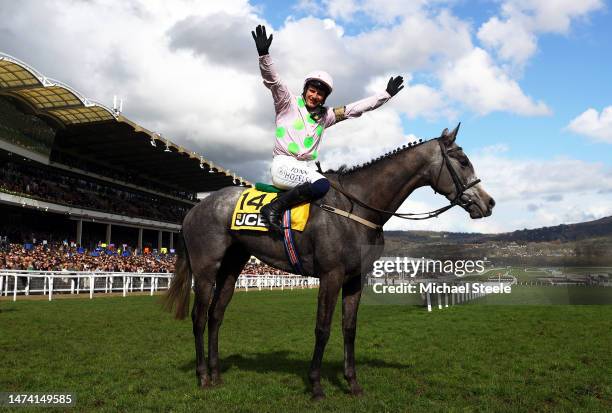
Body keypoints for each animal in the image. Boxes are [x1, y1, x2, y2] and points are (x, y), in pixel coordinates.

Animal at [164, 124, 498, 400]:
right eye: (463, 160)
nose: (489, 202)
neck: (358, 207)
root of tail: (194, 208)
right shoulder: (331, 275)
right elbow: (322, 328)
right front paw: (316, 385)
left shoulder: (355, 278)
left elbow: (349, 328)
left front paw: (352, 383)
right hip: (206, 269)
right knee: (199, 316)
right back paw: (203, 376)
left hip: (233, 266)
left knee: (216, 315)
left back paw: (217, 374)